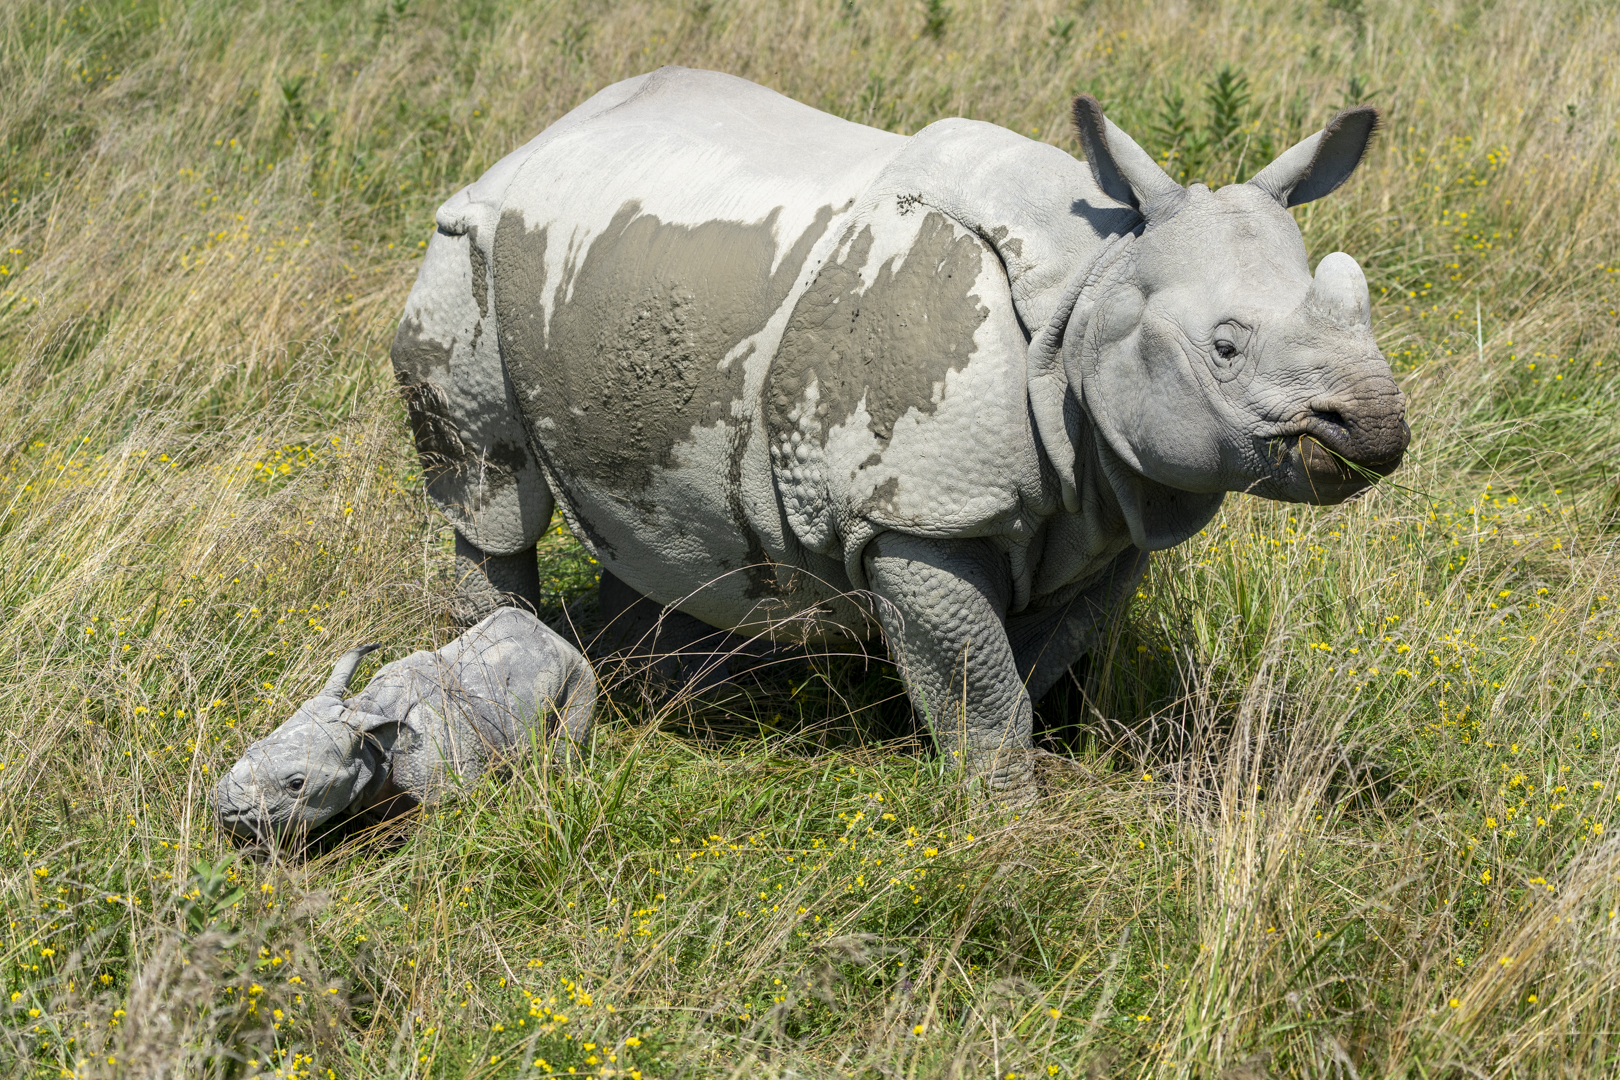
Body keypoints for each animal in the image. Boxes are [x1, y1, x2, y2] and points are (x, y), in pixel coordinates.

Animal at [214, 609, 598, 845]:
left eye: (296, 784)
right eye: (250, 748)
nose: (224, 807)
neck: (370, 736)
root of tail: (553, 634)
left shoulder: (450, 784)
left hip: (580, 671)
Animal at [391, 67, 1408, 800]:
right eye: (1225, 348)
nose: (1378, 426)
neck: (1096, 283)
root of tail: (535, 140)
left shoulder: (1109, 506)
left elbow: (1025, 667)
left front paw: (993, 784)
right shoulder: (919, 513)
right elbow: (983, 689)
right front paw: (1006, 821)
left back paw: (666, 691)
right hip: (461, 248)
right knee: (494, 493)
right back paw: (501, 673)